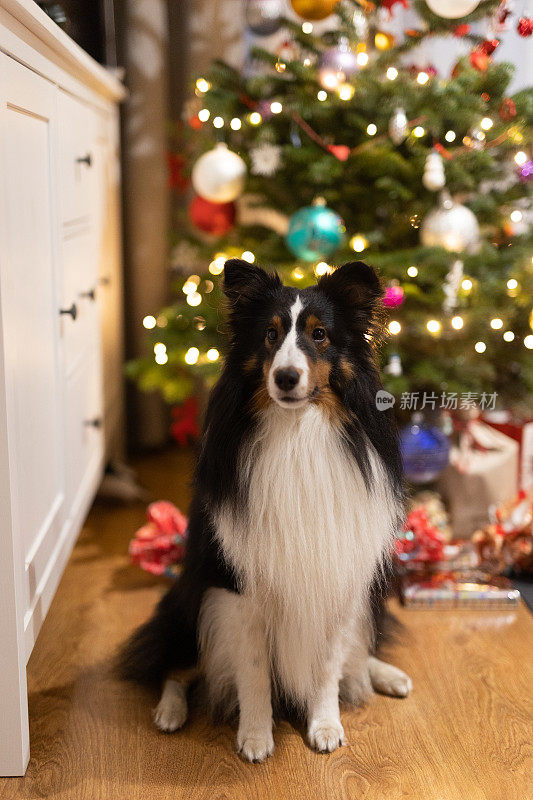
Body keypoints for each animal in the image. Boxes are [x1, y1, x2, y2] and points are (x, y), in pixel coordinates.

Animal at [118, 258, 412, 764]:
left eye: (320, 335)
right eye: (270, 335)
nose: (286, 378)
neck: (297, 435)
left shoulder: (336, 577)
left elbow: (328, 666)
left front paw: (325, 725)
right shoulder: (239, 590)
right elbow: (253, 672)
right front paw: (255, 737)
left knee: (359, 648)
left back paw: (387, 675)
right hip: (190, 601)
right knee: (175, 668)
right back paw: (170, 713)